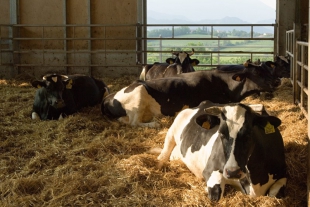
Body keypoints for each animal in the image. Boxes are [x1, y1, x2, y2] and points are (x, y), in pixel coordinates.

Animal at [101, 66, 276, 128]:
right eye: (258, 72)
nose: (278, 80)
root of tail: (108, 97)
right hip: (138, 97)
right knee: (134, 123)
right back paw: (155, 124)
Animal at [154, 100, 286, 201]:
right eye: (221, 133)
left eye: (249, 133)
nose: (233, 172)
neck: (254, 181)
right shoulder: (210, 170)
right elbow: (215, 196)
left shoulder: (283, 174)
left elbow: (274, 194)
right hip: (172, 129)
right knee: (164, 153)